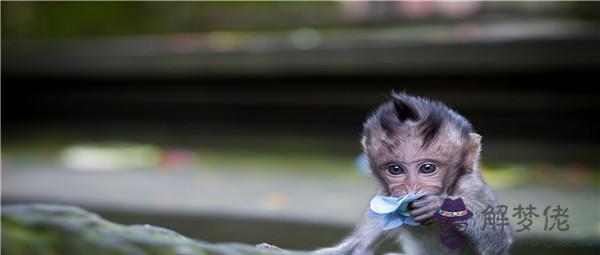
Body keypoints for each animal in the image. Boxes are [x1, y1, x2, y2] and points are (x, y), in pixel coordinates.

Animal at [258, 92, 510, 254]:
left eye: (427, 168)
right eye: (395, 169)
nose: (410, 189)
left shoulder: (472, 188)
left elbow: (498, 238)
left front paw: (440, 205)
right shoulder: (382, 197)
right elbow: (356, 247)